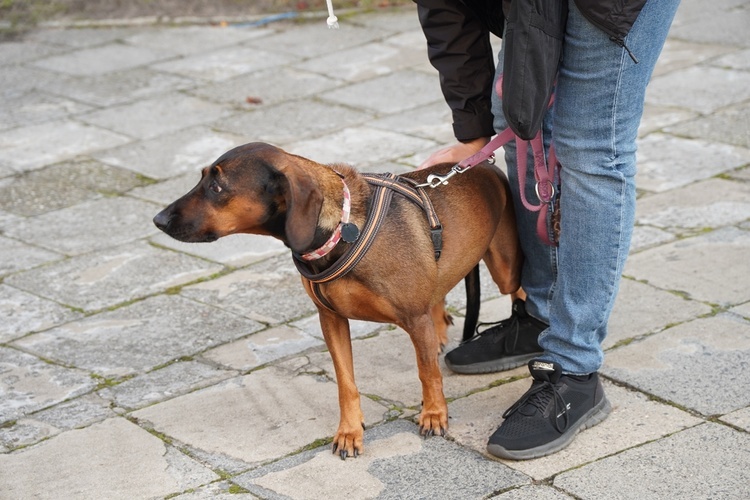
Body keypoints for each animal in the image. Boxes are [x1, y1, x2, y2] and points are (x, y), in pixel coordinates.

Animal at [150, 143, 520, 458]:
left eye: (217, 187)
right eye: (202, 178)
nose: (158, 219)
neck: (342, 230)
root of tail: (486, 166)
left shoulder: (414, 319)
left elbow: (427, 372)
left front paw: (433, 413)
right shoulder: (331, 319)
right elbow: (346, 382)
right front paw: (349, 432)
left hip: (506, 269)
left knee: (518, 292)